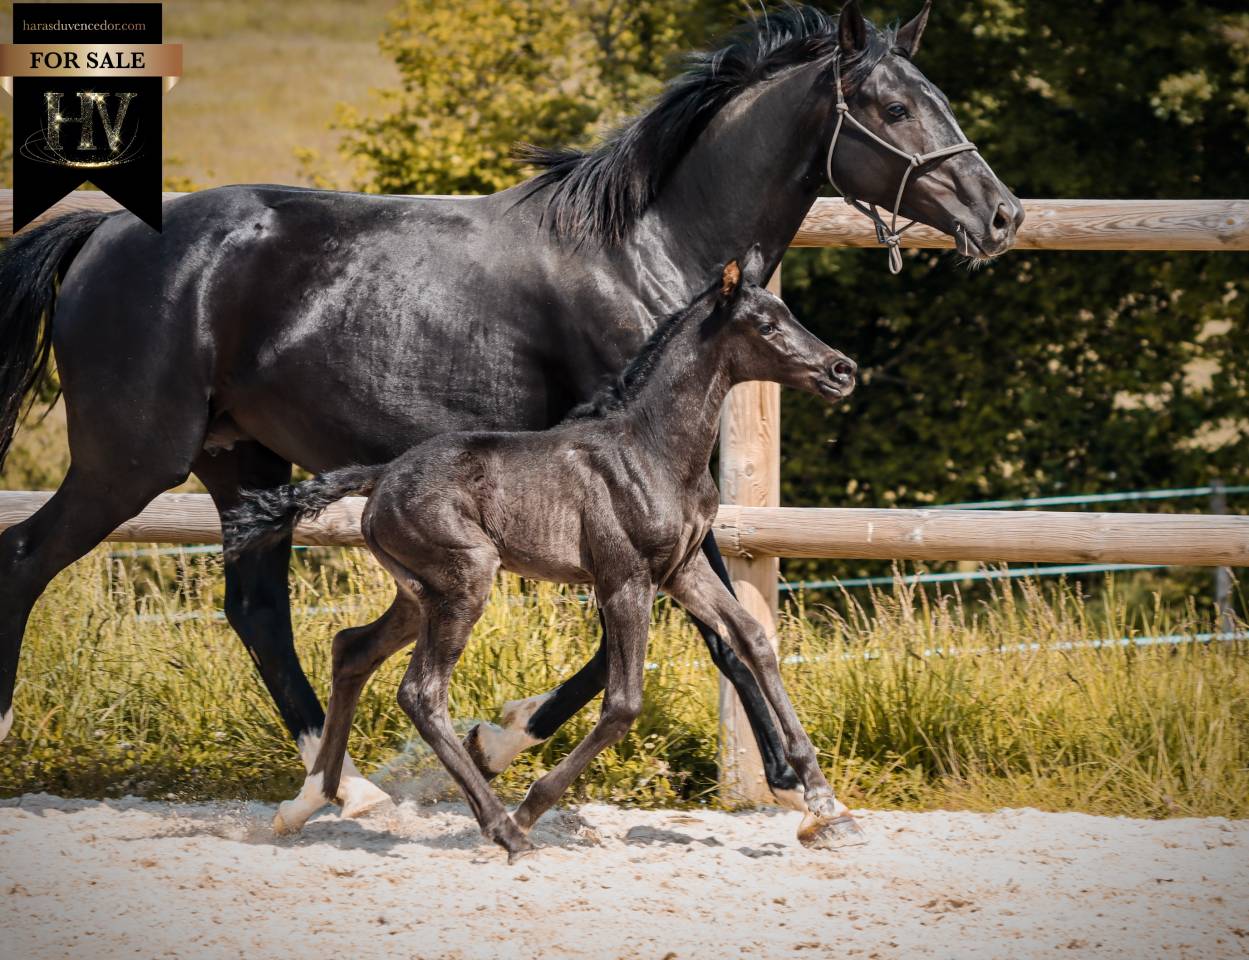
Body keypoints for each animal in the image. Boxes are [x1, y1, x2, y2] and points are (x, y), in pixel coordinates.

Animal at [225, 250, 861, 859]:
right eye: (766, 326)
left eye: (786, 314)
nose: (842, 369)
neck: (653, 448)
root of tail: (380, 476)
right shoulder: (624, 581)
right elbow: (624, 704)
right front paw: (532, 806)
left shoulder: (684, 571)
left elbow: (753, 640)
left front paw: (823, 800)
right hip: (466, 580)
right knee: (422, 693)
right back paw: (505, 829)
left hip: (421, 594)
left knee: (352, 649)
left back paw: (312, 802)